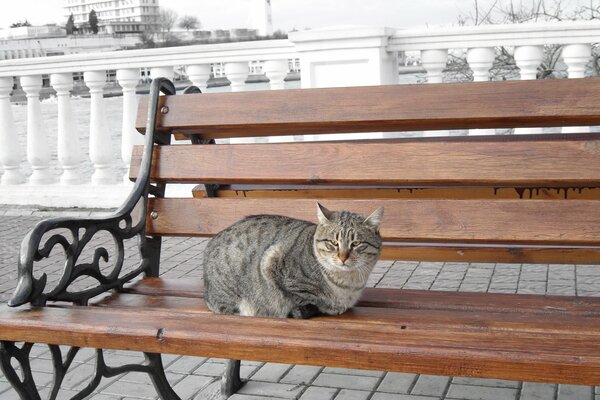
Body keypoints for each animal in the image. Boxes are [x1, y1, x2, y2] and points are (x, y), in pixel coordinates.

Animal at [200, 203, 380, 318]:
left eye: (356, 244)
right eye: (333, 243)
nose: (342, 257)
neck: (348, 284)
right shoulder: (271, 261)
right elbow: (301, 297)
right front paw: (327, 307)